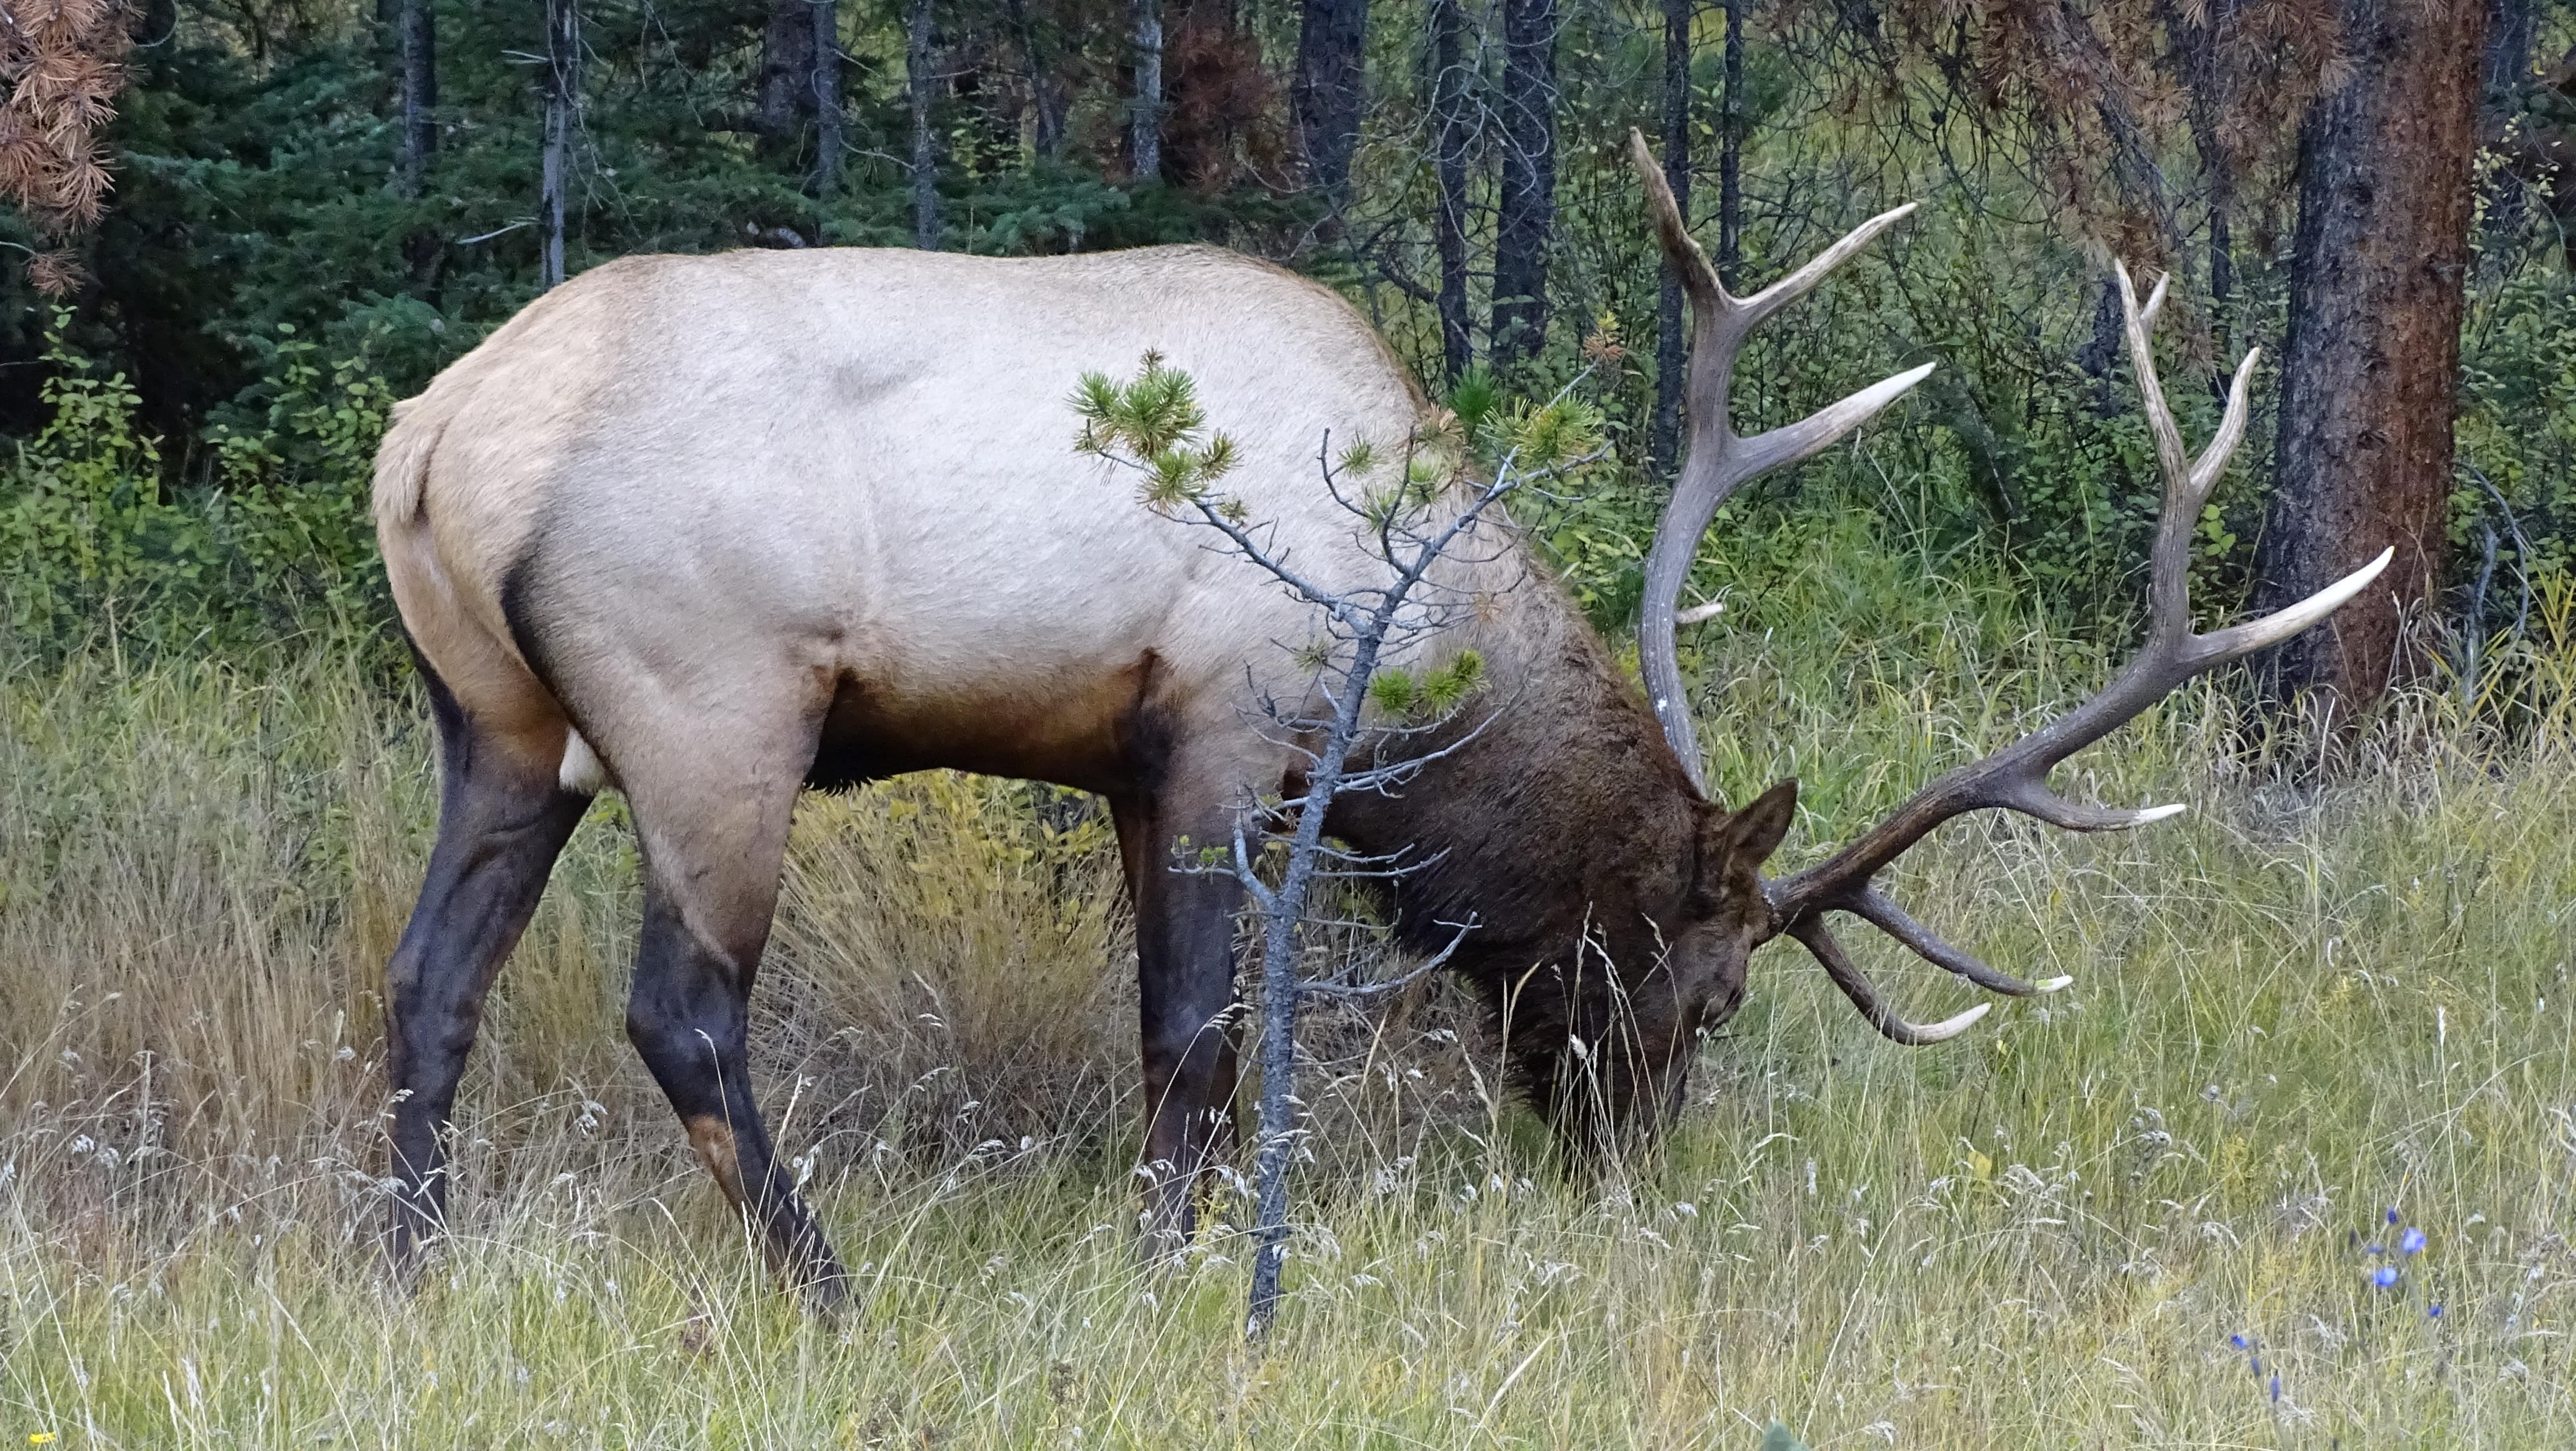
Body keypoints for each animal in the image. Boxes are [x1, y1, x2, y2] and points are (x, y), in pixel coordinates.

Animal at [373, 131, 2380, 1298]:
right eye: (1715, 988)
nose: (1629, 1172)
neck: (1418, 610)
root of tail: (435, 437)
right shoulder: (1221, 726)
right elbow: (1193, 1033)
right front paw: (1176, 1276)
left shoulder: (1126, 763)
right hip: (715, 707)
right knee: (678, 1011)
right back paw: (831, 1284)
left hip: (500, 725)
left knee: (428, 985)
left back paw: (406, 1271)